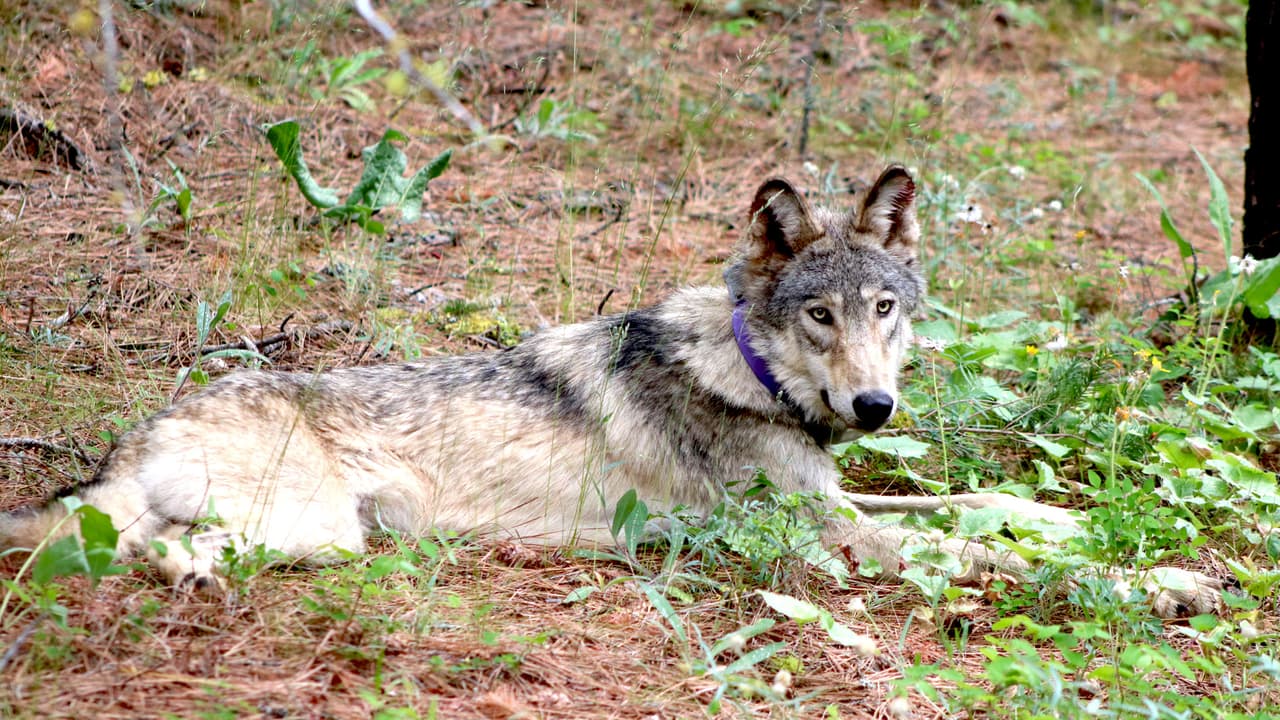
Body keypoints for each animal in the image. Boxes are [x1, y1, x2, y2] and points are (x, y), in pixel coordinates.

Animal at [1, 166, 1222, 617]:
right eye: (818, 316)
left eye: (885, 308)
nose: (874, 410)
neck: (748, 370)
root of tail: (140, 430)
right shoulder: (827, 541)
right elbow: (980, 552)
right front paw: (1162, 580)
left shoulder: (835, 502)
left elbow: (983, 506)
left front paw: (1071, 522)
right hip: (315, 531)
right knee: (141, 551)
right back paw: (181, 578)